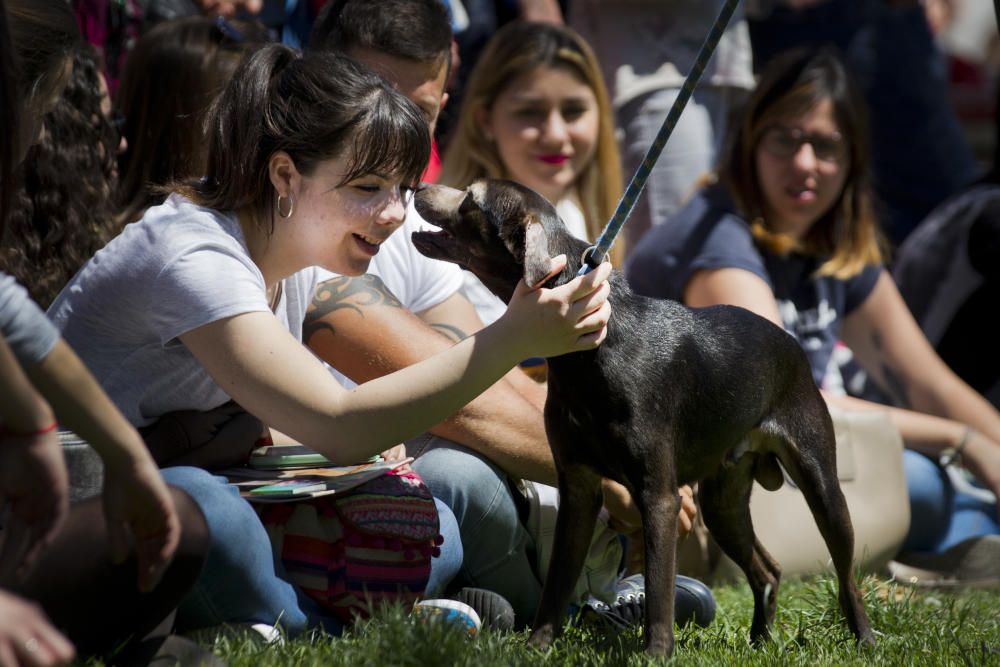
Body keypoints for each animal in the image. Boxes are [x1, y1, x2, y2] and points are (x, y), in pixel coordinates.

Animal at [410, 177, 872, 656]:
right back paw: (760, 641)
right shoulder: (578, 488)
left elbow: (658, 588)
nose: (418, 185)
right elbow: (557, 583)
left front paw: (656, 653)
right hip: (722, 503)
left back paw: (864, 639)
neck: (594, 349)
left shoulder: (659, 497)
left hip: (820, 484)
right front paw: (538, 645)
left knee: (846, 577)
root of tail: (791, 342)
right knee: (768, 569)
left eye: (471, 198)